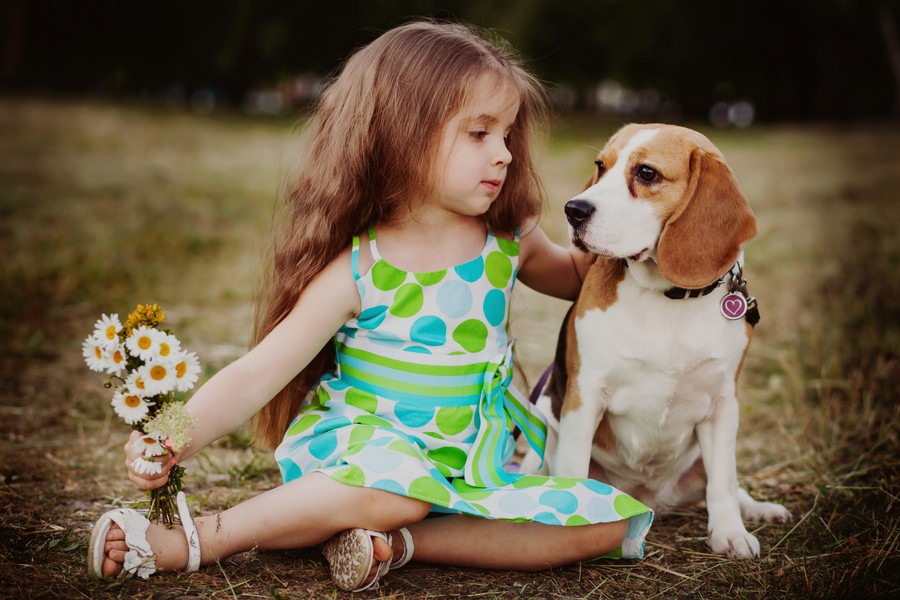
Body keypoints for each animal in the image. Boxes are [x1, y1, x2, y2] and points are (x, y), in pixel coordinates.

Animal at [524, 124, 792, 560]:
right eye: (601, 166)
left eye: (646, 173)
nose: (573, 210)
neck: (668, 297)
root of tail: (648, 498)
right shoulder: (585, 395)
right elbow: (574, 471)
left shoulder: (723, 403)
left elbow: (722, 482)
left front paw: (730, 534)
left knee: (729, 484)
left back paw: (759, 508)